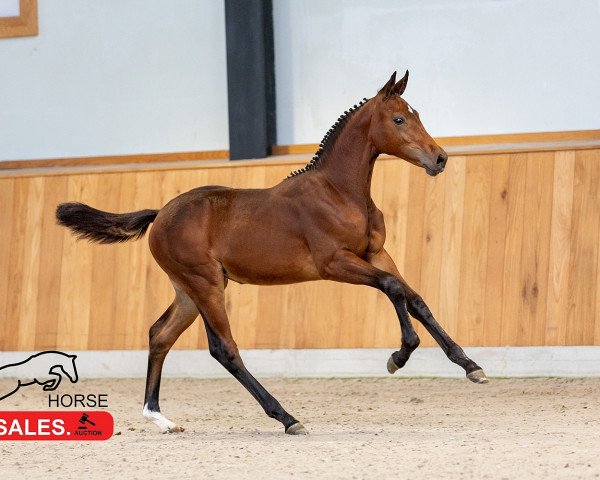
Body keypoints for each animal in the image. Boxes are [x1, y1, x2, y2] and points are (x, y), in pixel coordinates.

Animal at [57, 71, 488, 436]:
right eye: (399, 119)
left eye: (416, 115)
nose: (439, 158)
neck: (339, 192)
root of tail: (160, 213)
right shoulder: (335, 263)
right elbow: (392, 289)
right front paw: (399, 356)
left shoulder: (378, 254)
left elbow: (416, 298)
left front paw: (471, 367)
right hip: (205, 284)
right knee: (224, 349)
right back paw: (287, 418)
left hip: (189, 291)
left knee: (159, 335)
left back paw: (160, 418)